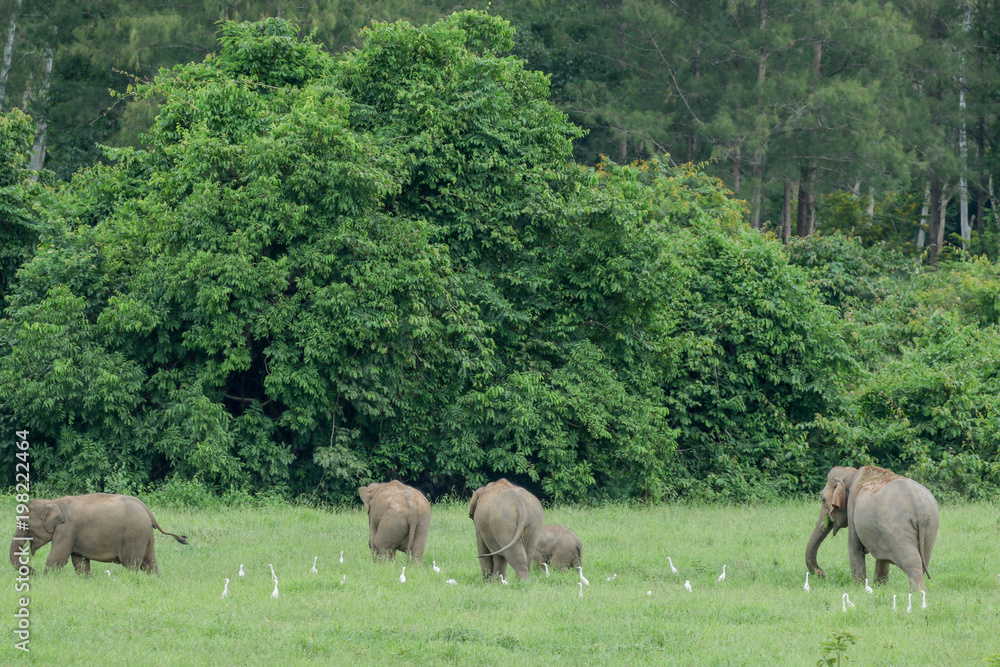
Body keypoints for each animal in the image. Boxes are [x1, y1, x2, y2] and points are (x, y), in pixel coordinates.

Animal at [9, 493, 188, 575]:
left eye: (25, 525)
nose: (32, 570)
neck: (53, 502)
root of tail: (147, 510)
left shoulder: (66, 531)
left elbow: (57, 558)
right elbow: (80, 561)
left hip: (135, 535)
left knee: (132, 564)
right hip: (146, 536)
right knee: (150, 564)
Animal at [805, 465, 939, 591]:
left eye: (823, 499)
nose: (821, 574)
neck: (852, 474)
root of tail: (919, 510)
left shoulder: (852, 507)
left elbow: (854, 547)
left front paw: (858, 588)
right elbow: (882, 557)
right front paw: (880, 588)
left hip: (897, 529)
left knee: (911, 561)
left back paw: (917, 593)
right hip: (931, 526)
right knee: (923, 560)